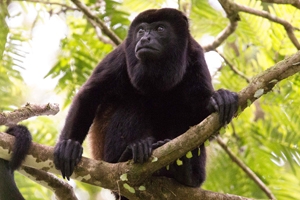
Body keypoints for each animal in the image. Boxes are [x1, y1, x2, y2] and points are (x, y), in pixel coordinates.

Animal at [52, 7, 238, 194]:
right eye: (141, 30)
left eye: (160, 29)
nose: (144, 39)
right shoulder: (121, 55)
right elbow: (89, 96)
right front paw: (69, 146)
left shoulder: (195, 55)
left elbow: (201, 120)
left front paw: (218, 99)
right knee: (133, 106)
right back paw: (129, 153)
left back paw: (187, 175)